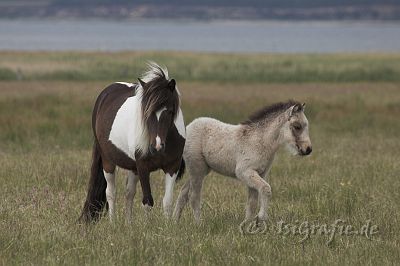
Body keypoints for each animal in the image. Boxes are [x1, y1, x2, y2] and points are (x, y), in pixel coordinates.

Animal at [79, 62, 186, 222]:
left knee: (129, 193)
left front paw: (167, 225)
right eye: (146, 112)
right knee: (111, 192)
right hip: (108, 161)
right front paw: (148, 226)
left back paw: (128, 223)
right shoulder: (142, 166)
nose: (157, 146)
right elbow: (147, 201)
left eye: (169, 111)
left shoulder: (172, 167)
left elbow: (167, 201)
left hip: (132, 166)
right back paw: (113, 222)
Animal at [174, 101, 312, 228]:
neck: (260, 141)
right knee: (194, 197)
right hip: (197, 168)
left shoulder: (259, 173)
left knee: (183, 193)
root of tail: (188, 127)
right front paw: (260, 217)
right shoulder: (244, 172)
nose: (308, 149)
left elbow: (252, 202)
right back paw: (199, 224)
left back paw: (173, 221)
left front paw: (246, 225)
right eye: (297, 126)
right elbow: (266, 189)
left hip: (201, 171)